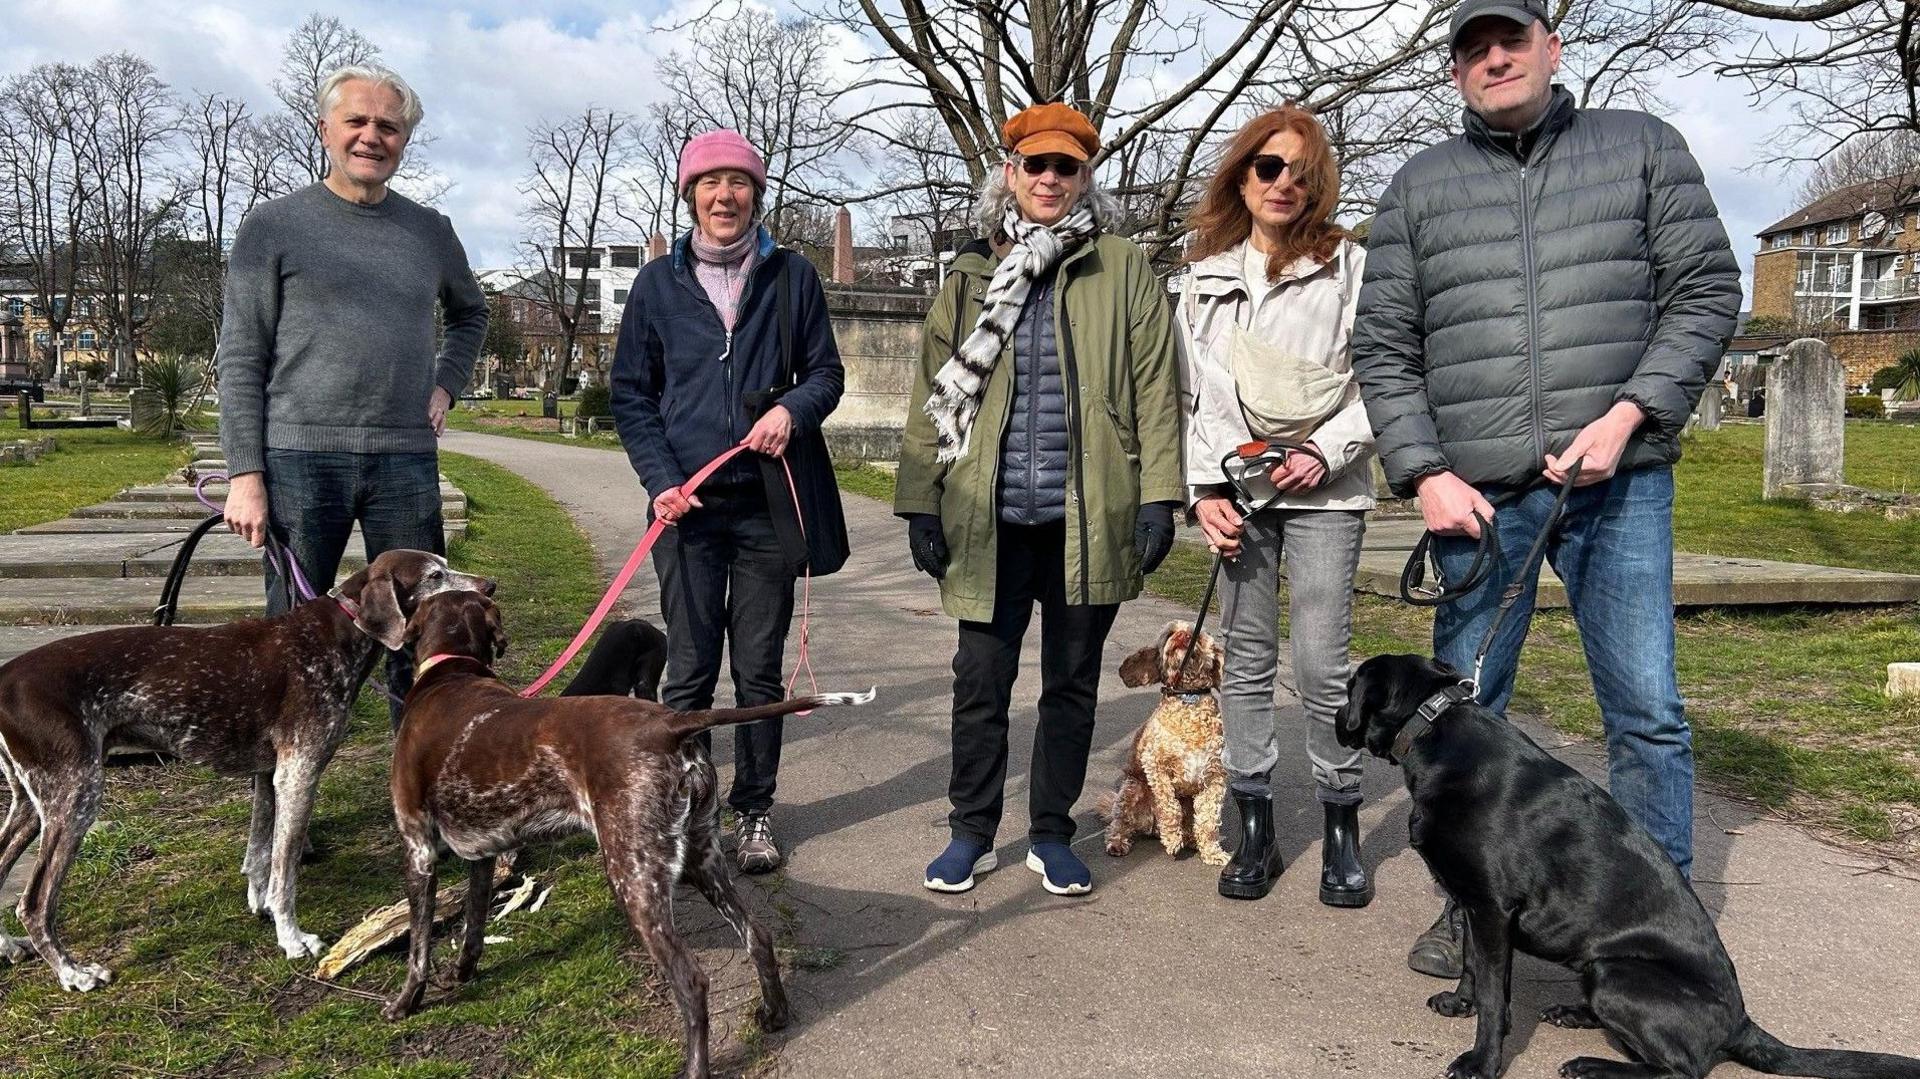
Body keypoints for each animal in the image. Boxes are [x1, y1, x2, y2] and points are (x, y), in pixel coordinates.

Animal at [0, 549, 491, 990]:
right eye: (435, 575)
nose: (488, 587)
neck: (338, 634)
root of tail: (6, 678)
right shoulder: (299, 773)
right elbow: (284, 869)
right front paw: (292, 939)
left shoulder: (268, 776)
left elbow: (260, 854)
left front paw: (264, 909)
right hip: (75, 799)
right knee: (33, 904)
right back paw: (73, 973)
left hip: (33, 805)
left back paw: (8, 947)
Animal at [384, 587, 879, 1075]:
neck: (451, 671)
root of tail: (671, 723)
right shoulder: (485, 854)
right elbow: (473, 924)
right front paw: (463, 972)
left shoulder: (419, 851)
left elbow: (419, 946)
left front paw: (406, 1002)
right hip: (702, 859)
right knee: (758, 935)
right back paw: (774, 1013)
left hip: (633, 876)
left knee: (693, 982)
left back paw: (696, 1067)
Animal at [1336, 645, 1920, 1075]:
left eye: (1349, 688)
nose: (1336, 716)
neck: (1435, 733)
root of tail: (1741, 1023)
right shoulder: (1475, 906)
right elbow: (1475, 969)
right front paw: (1461, 1004)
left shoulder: (1492, 908)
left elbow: (1496, 996)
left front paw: (1482, 1061)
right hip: (1598, 971)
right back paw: (1575, 1014)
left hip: (1617, 975)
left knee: (1682, 1070)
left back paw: (1595, 1066)